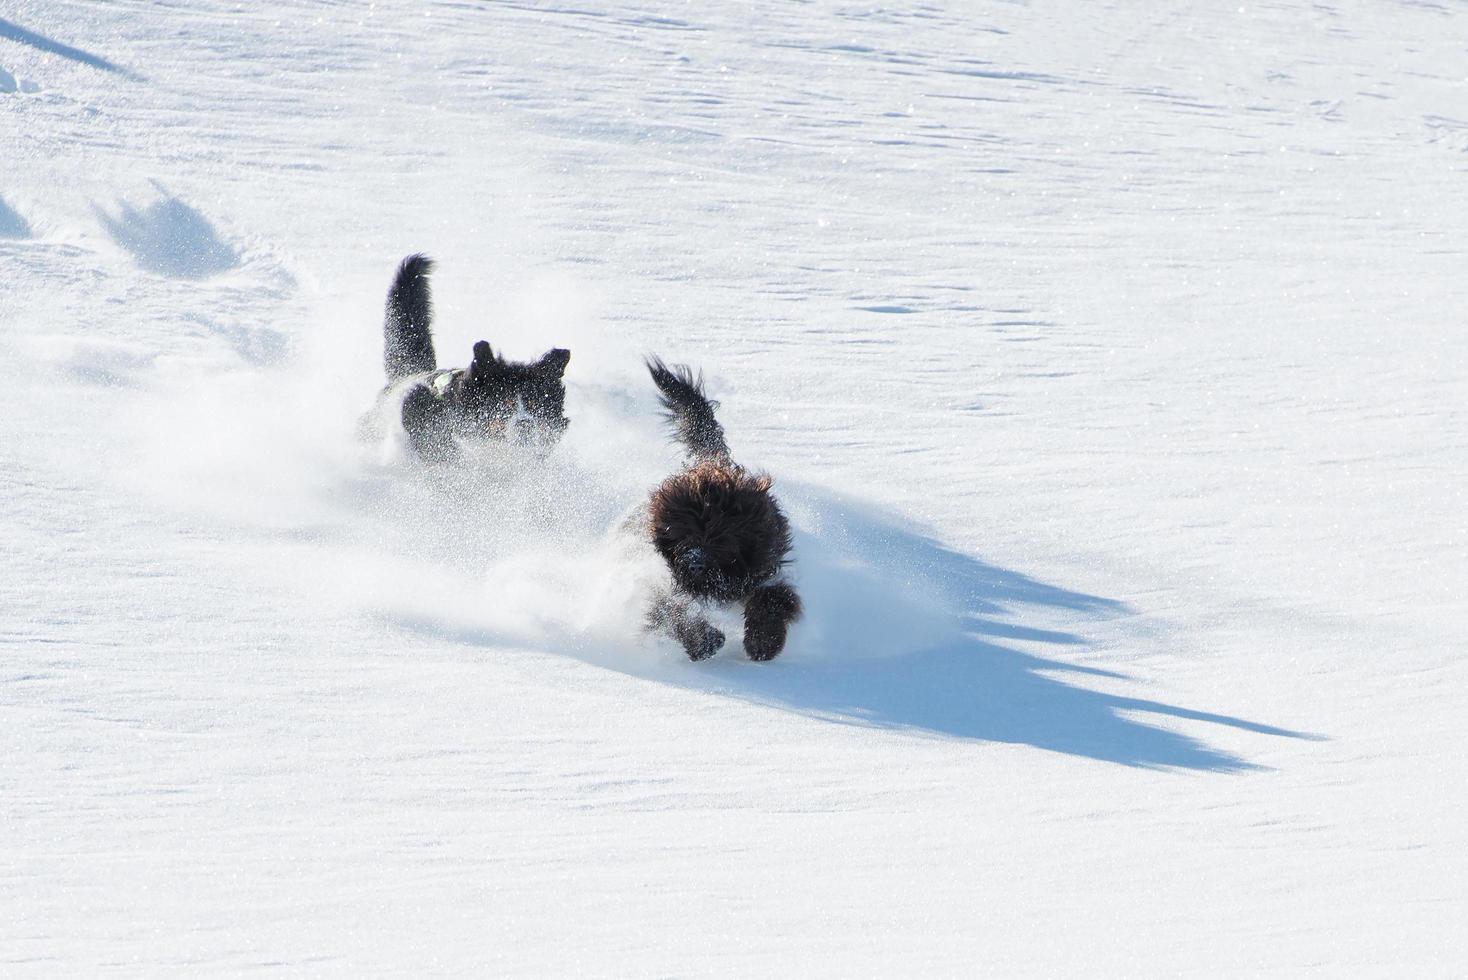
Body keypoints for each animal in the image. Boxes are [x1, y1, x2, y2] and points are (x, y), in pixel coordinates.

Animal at [642, 356, 804, 663]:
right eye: (682, 533)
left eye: (722, 537)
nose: (694, 563)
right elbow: (672, 611)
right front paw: (703, 641)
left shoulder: (762, 569)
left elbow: (774, 598)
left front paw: (764, 641)